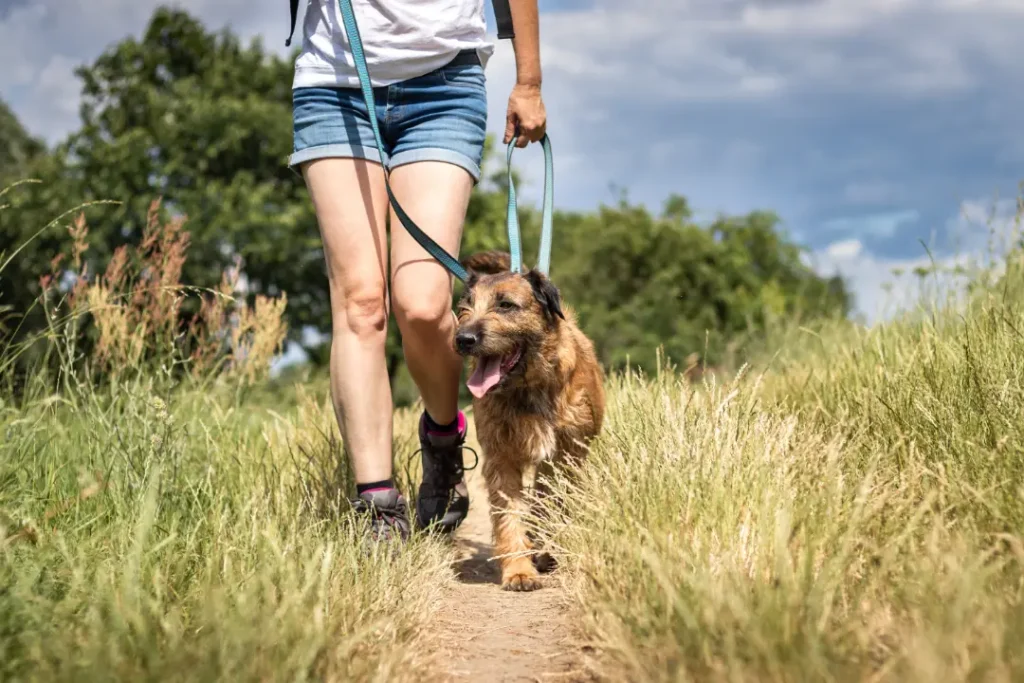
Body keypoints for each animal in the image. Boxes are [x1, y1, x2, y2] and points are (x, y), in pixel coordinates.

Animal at [452, 250, 602, 593]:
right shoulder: (501, 458)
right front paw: (519, 571)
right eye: (466, 306)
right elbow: (509, 515)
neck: (528, 388)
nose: (463, 339)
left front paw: (543, 550)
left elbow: (553, 503)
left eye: (506, 305)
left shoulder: (566, 455)